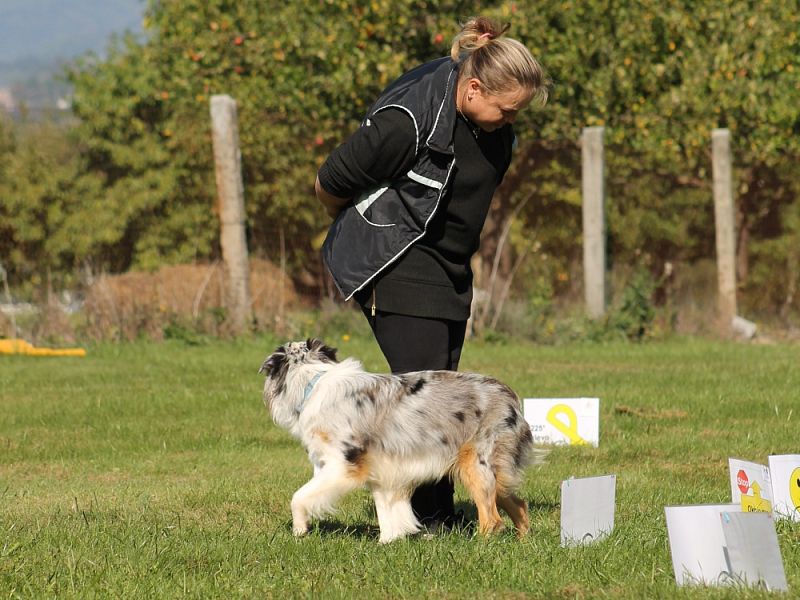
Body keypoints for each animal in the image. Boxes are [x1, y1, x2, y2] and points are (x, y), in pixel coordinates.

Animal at [260, 338, 536, 544]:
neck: (313, 382)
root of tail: (509, 395)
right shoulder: (382, 468)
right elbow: (386, 508)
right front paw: (388, 541)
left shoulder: (344, 466)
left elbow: (298, 497)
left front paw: (299, 529)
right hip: (495, 472)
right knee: (518, 505)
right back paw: (523, 542)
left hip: (475, 465)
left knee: (492, 520)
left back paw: (478, 546)